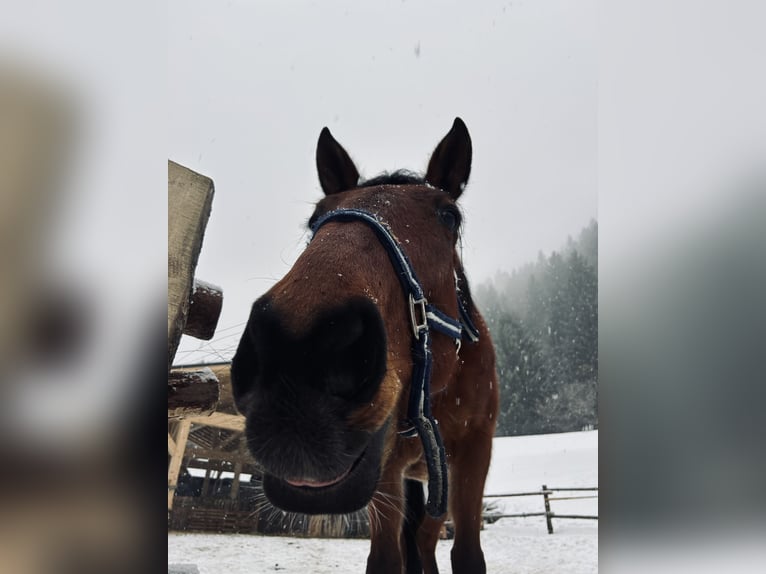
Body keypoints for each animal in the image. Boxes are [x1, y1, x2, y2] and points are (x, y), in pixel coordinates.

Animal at [231, 118, 499, 574]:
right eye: (316, 218)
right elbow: (387, 557)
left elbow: (466, 554)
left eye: (449, 215)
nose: (300, 349)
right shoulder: (386, 468)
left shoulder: (475, 452)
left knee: (426, 540)